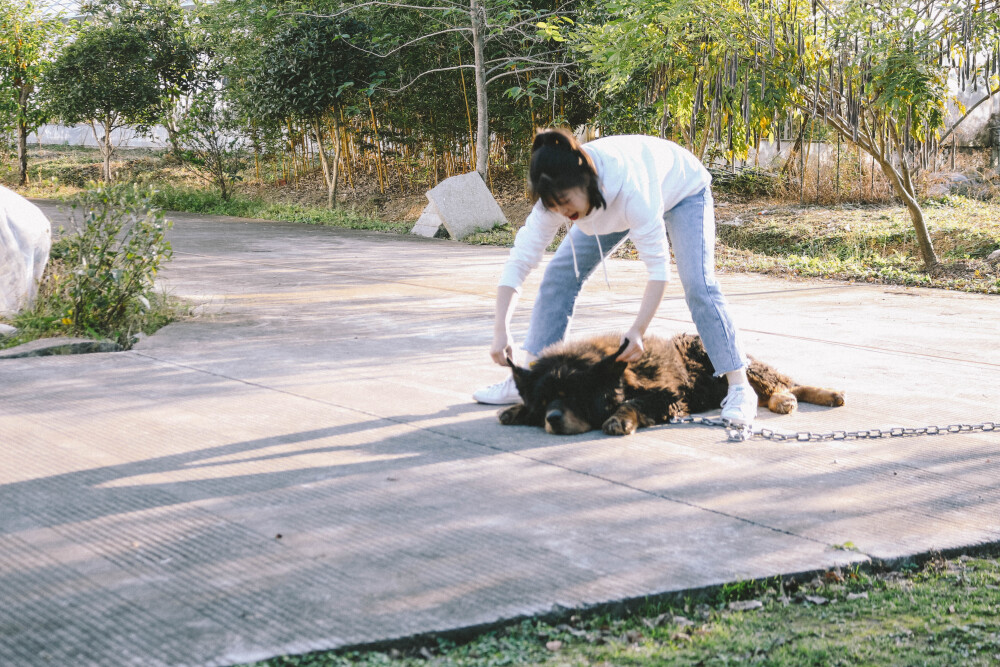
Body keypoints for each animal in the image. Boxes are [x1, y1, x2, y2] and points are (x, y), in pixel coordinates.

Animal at [500, 334, 844, 438]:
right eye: (545, 401)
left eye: (573, 396)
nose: (553, 419)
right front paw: (517, 410)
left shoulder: (667, 397)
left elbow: (632, 404)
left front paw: (619, 419)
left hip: (739, 368)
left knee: (782, 384)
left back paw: (800, 398)